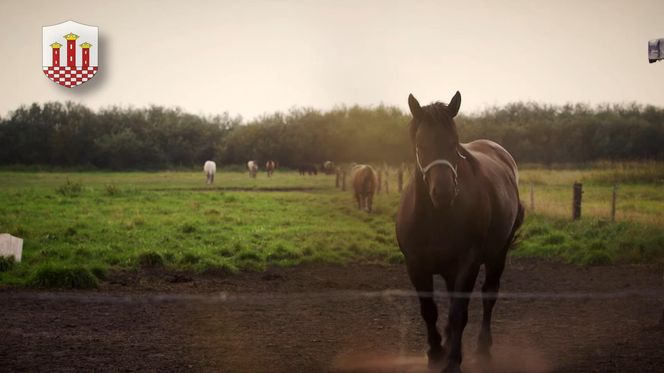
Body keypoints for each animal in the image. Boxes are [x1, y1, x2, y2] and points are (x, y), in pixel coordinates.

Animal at [394, 92, 524, 372]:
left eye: (454, 143)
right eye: (420, 144)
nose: (442, 192)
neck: (436, 217)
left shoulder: (468, 264)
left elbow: (458, 312)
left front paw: (453, 360)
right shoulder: (416, 266)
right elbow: (429, 309)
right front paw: (435, 352)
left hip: (498, 254)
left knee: (488, 294)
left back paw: (482, 348)